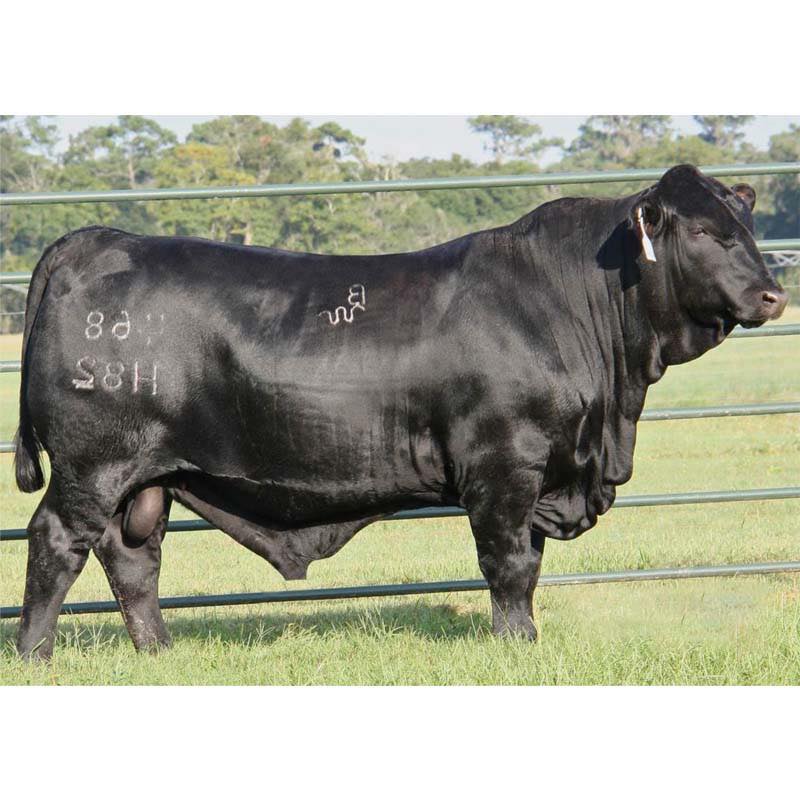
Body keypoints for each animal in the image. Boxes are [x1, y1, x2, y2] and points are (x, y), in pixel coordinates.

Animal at [13, 164, 788, 659]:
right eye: (701, 232)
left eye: (745, 224)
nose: (774, 294)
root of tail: (100, 239)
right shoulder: (504, 464)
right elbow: (509, 564)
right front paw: (519, 648)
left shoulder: (539, 473)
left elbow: (528, 564)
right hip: (93, 464)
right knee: (55, 543)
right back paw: (34, 656)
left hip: (144, 479)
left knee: (132, 560)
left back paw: (159, 653)